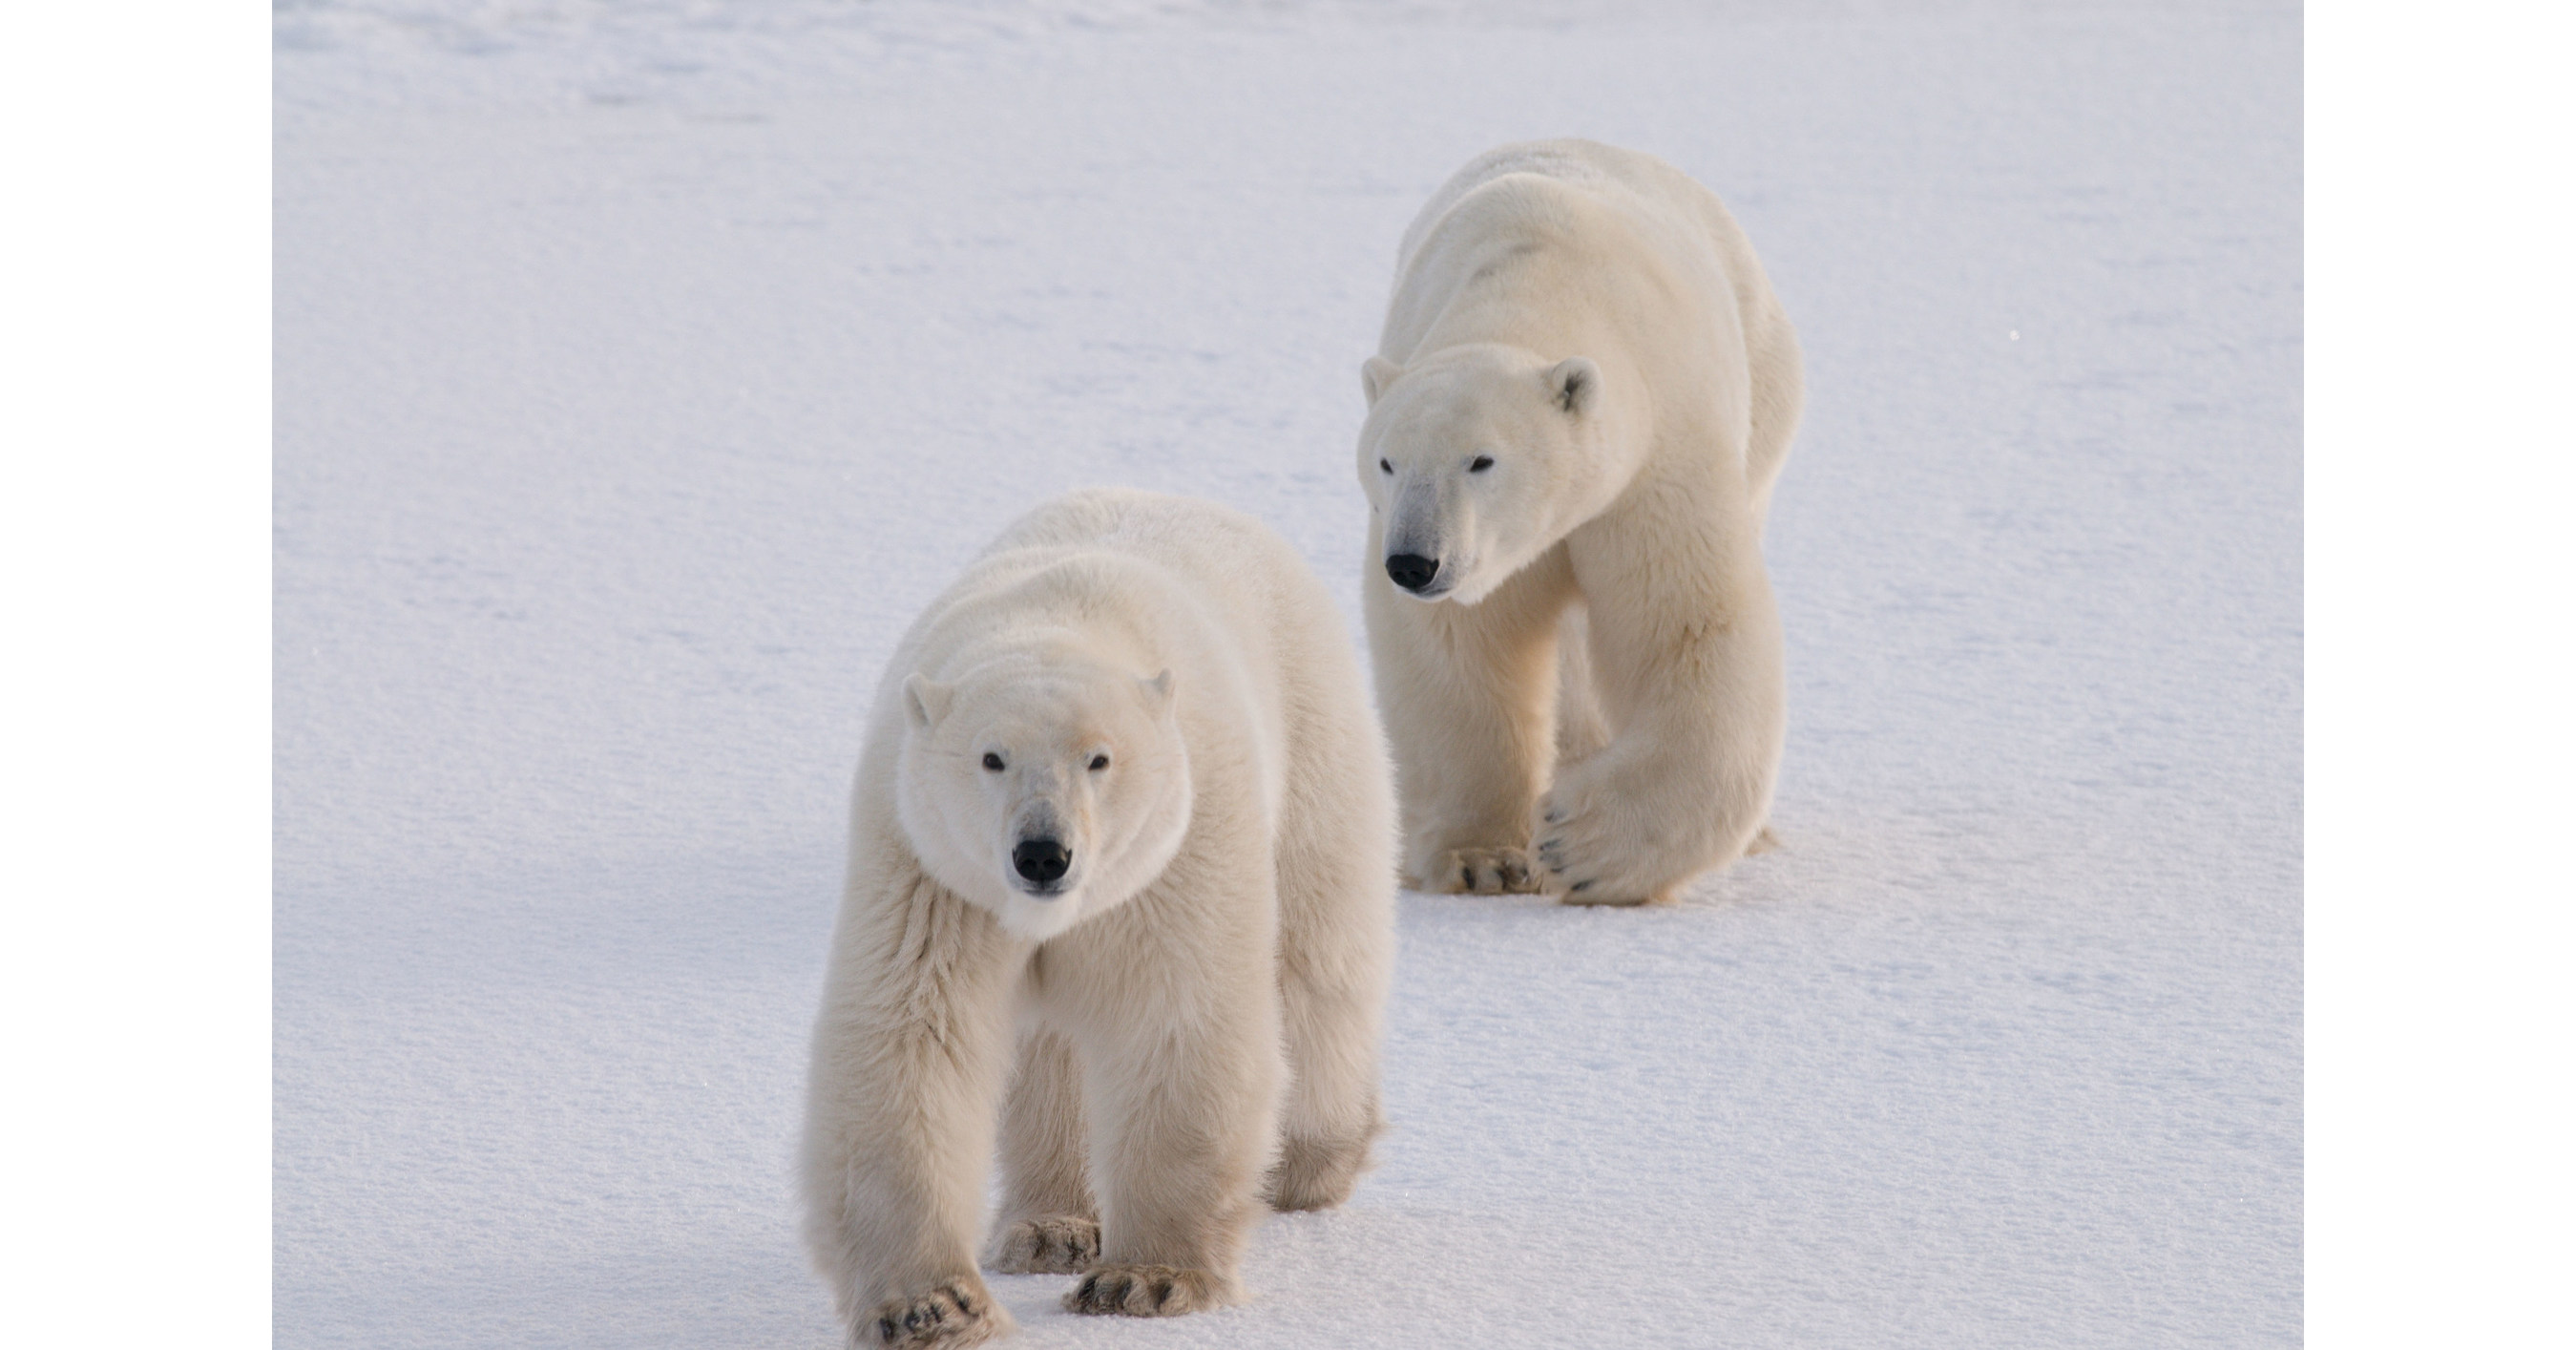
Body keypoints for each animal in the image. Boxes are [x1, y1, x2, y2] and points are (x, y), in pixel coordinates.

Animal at [804, 489, 1412, 1339]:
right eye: (991, 758)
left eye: (1099, 758)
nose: (1042, 854)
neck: (1050, 620)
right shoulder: (927, 872)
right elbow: (914, 1034)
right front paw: (930, 1305)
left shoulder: (1176, 849)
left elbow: (1174, 1016)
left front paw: (1146, 1279)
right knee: (1049, 1057)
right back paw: (1050, 1226)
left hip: (1315, 732)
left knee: (1319, 960)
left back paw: (1312, 1162)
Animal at [1360, 137, 1803, 906]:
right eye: (1386, 461)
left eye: (1481, 460)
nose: (1413, 562)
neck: (1538, 279)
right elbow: (1459, 647)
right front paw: (1481, 858)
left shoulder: (1653, 463)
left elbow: (1686, 624)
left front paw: (1580, 845)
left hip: (1767, 383)